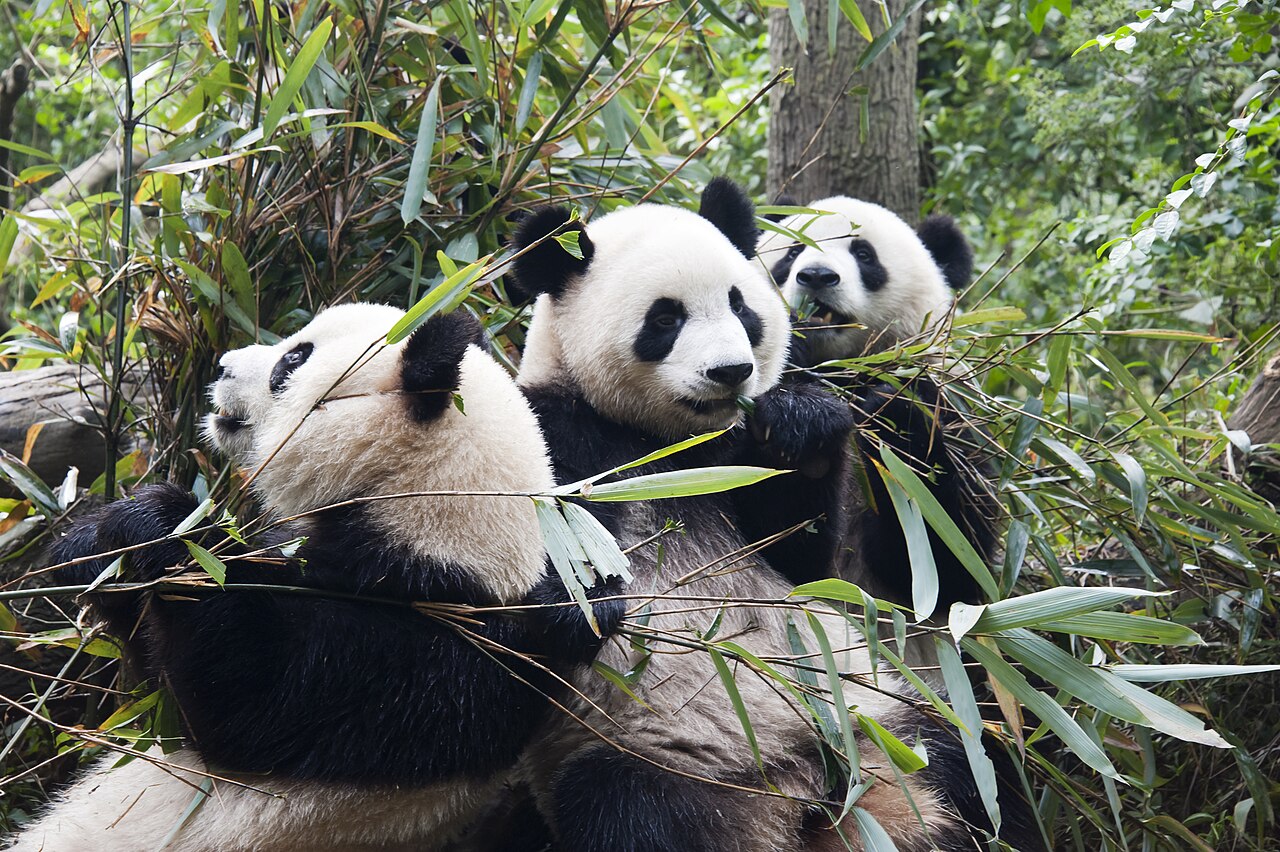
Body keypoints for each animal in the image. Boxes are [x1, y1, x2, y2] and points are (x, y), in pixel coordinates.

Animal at [11, 303, 622, 852]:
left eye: (293, 359)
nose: (223, 366)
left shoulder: (435, 651)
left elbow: (244, 697)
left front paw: (167, 527)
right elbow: (147, 671)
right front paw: (95, 544)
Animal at [755, 196, 999, 612]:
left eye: (864, 255)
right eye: (792, 252)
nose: (816, 276)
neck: (843, 369)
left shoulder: (950, 407)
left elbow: (950, 564)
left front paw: (892, 417)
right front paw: (801, 421)